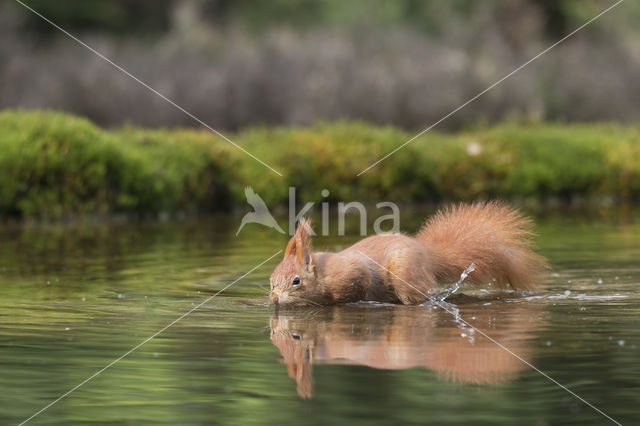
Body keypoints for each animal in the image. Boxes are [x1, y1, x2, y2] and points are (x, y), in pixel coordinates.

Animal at [268, 201, 548, 304]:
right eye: (270, 281)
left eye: (296, 281)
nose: (274, 299)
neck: (323, 273)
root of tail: (426, 253)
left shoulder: (352, 274)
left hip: (405, 273)